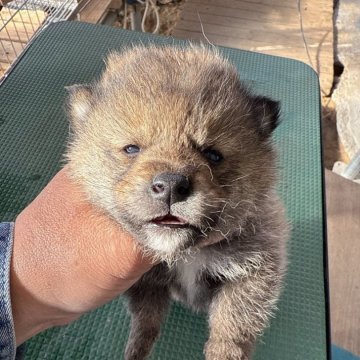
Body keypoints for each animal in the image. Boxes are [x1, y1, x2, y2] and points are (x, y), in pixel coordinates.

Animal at [65, 45, 290, 360]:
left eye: (213, 154)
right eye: (132, 149)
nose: (171, 185)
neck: (186, 256)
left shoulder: (254, 271)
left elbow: (233, 324)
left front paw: (224, 353)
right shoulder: (146, 282)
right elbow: (146, 319)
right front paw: (137, 349)